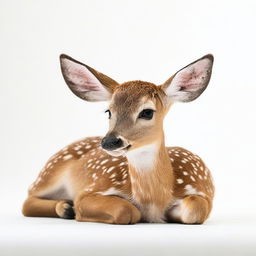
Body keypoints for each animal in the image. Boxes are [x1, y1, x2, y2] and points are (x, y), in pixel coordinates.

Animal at [22, 53, 214, 224]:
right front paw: (74, 209)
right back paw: (65, 208)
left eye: (147, 112)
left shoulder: (202, 192)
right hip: (49, 173)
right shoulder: (91, 190)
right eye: (108, 111)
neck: (153, 200)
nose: (109, 141)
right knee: (27, 201)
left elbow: (194, 209)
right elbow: (126, 210)